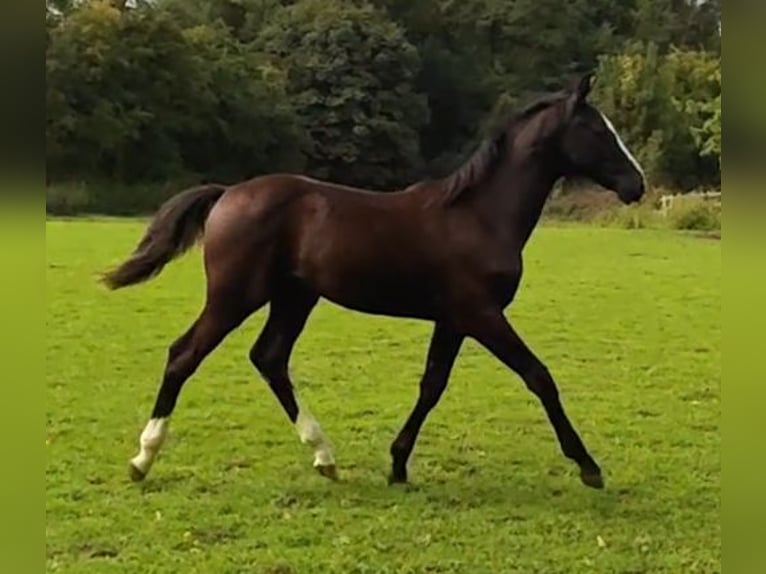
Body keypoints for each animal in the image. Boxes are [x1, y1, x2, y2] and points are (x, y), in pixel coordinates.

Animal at [102, 72, 645, 490]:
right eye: (597, 130)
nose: (636, 185)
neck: (479, 215)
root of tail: (228, 193)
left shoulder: (453, 320)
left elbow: (432, 385)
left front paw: (398, 464)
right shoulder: (481, 314)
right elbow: (538, 376)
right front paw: (589, 466)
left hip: (294, 297)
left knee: (269, 358)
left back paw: (324, 456)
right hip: (236, 295)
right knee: (184, 355)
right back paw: (142, 459)